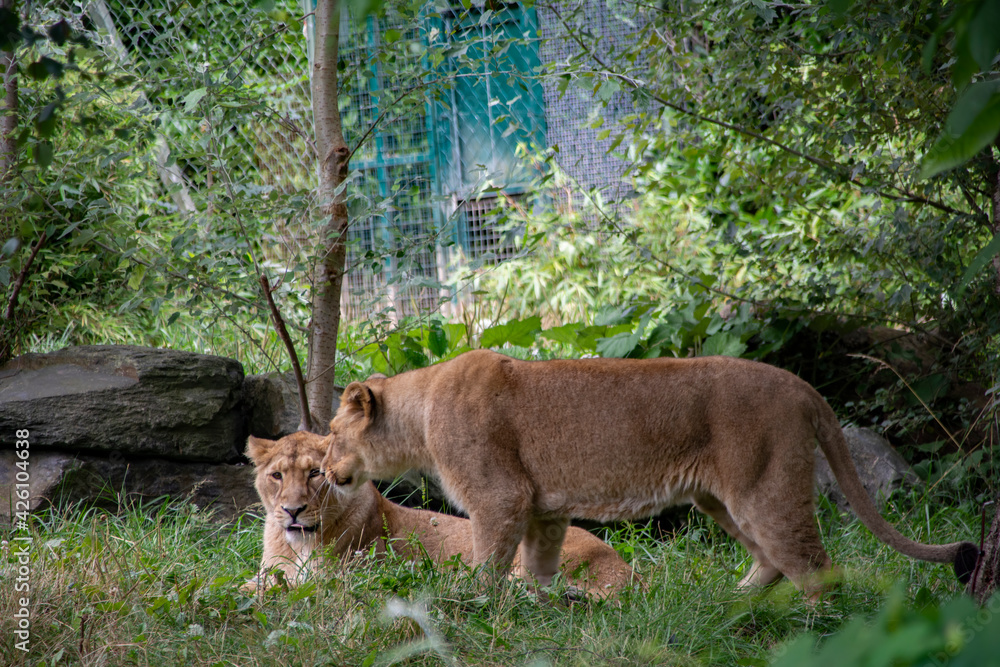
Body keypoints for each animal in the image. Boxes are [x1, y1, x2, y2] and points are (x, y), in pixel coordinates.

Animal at [243, 430, 634, 598]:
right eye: (277, 476)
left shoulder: (342, 577)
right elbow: (249, 582)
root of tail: (627, 571)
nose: (292, 510)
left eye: (314, 473)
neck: (297, 545)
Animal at [324, 349, 978, 596]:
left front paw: (470, 603)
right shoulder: (543, 509)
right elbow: (536, 567)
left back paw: (816, 630)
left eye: (330, 433)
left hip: (763, 487)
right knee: (771, 560)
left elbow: (485, 565)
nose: (327, 470)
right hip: (723, 501)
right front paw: (537, 605)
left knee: (815, 566)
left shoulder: (500, 498)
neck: (420, 413)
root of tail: (798, 383)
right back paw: (733, 605)